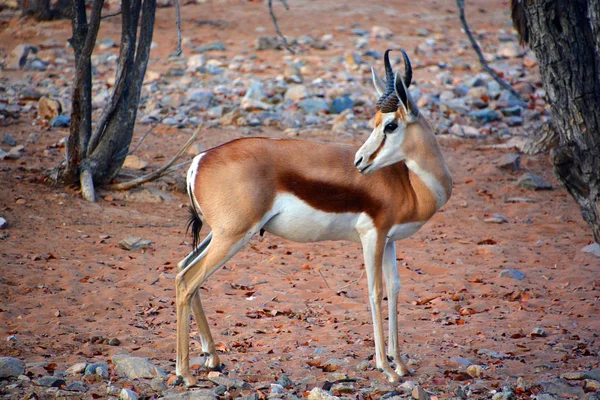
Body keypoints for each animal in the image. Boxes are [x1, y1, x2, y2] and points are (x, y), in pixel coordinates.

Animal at [176, 50, 452, 384]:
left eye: (389, 125)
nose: (359, 161)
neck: (410, 183)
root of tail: (199, 161)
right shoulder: (372, 236)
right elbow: (376, 292)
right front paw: (385, 367)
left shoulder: (389, 241)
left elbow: (395, 289)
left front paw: (400, 363)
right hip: (233, 235)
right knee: (187, 281)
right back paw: (185, 373)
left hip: (220, 235)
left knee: (183, 269)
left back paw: (213, 359)